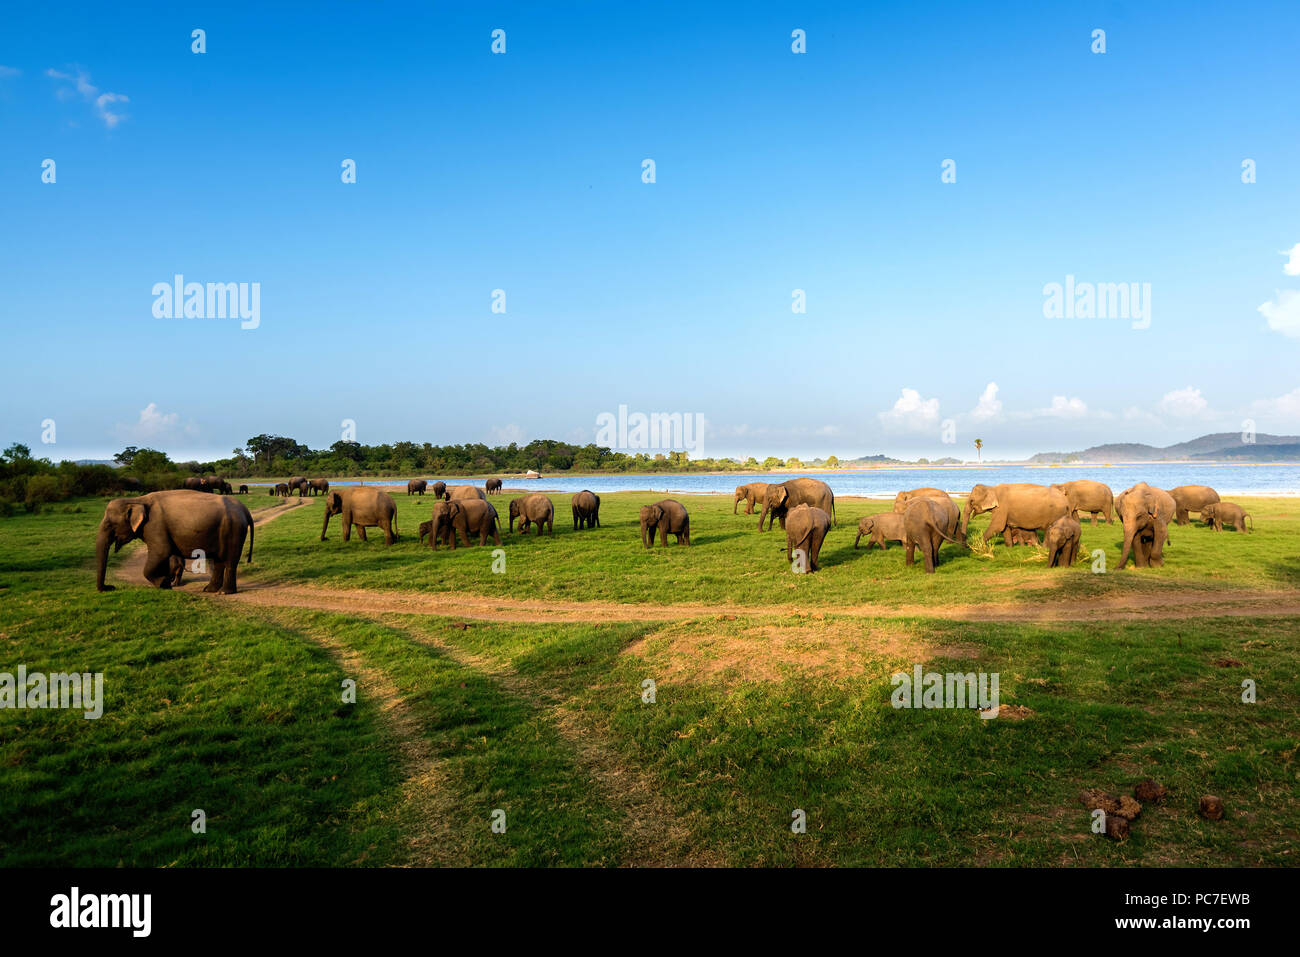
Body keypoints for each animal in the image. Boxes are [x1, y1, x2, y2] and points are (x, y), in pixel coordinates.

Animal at [94, 488, 252, 595]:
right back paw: (209, 590)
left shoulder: (155, 524)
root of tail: (245, 509)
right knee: (219, 561)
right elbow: (163, 556)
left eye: (109, 525)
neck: (138, 500)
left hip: (233, 530)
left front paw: (164, 583)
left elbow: (161, 551)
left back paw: (224, 592)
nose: (109, 588)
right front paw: (166, 584)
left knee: (230, 561)